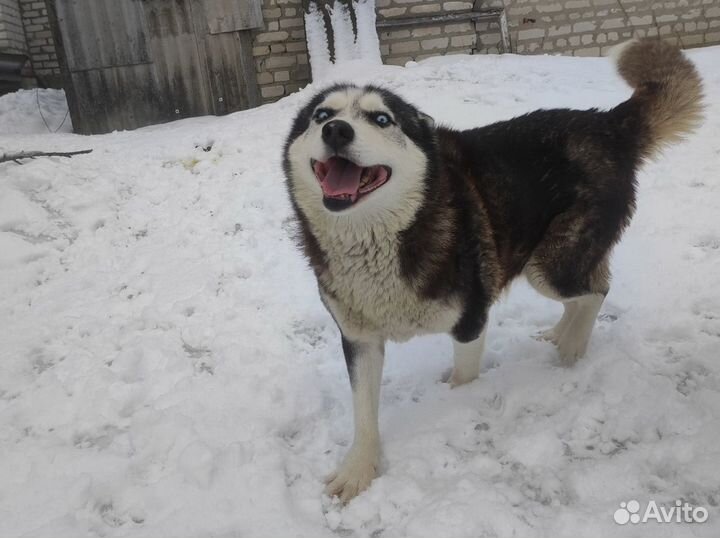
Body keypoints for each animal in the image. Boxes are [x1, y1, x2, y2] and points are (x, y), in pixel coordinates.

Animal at [282, 39, 704, 500]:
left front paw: (457, 405)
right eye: (323, 115)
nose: (337, 131)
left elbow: (464, 378)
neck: (382, 238)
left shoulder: (471, 319)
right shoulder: (359, 337)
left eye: (381, 119)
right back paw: (559, 333)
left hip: (550, 264)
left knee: (595, 290)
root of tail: (605, 123)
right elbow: (362, 411)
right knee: (589, 287)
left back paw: (572, 347)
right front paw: (359, 469)